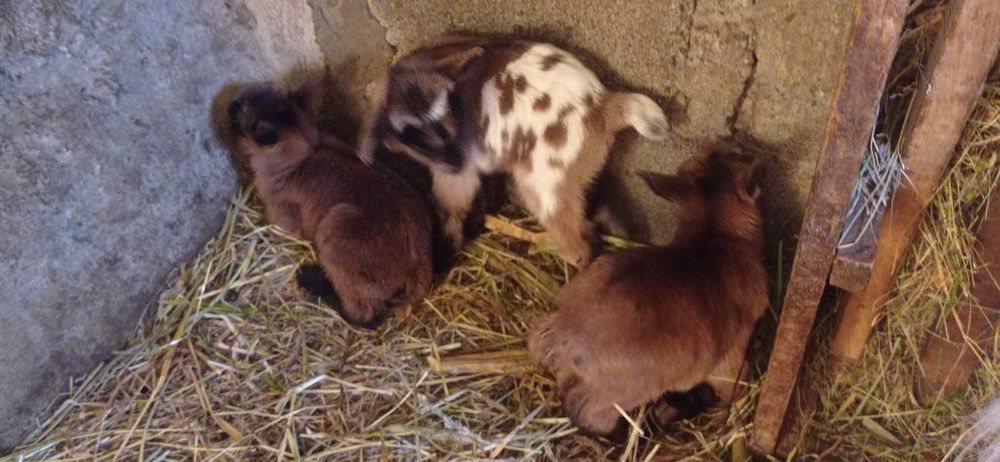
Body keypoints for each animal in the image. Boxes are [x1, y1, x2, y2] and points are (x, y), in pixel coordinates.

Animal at [226, 68, 433, 329]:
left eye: (241, 113)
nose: (229, 105)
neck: (303, 156)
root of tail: (421, 259)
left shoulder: (283, 219)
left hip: (339, 230)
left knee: (367, 314)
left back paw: (312, 280)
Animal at [360, 36, 669, 267]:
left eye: (449, 112)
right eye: (412, 136)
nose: (455, 161)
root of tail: (603, 104)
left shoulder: (457, 174)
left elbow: (450, 205)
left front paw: (445, 255)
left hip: (544, 184)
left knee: (576, 240)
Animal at [527, 148, 768, 434]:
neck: (715, 236)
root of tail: (563, 332)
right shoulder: (730, 356)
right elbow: (735, 386)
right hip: (616, 393)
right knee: (586, 413)